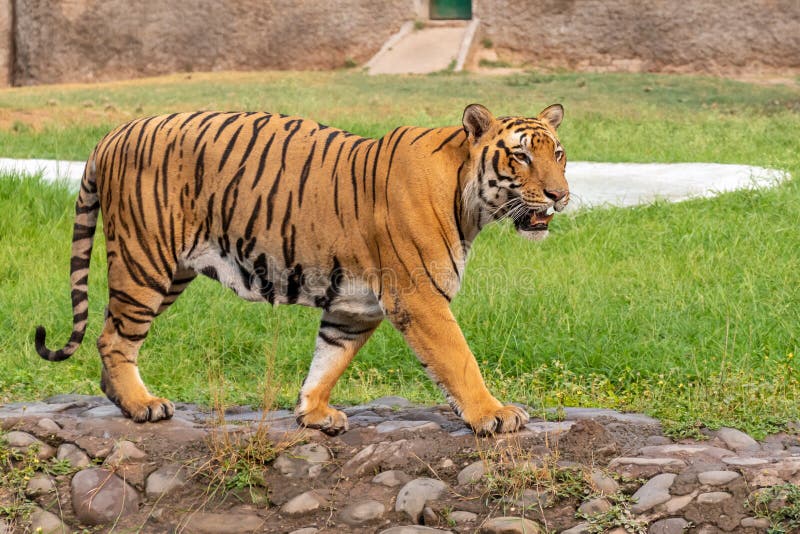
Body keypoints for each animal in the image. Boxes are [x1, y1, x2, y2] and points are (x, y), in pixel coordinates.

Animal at [35, 103, 569, 436]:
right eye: (521, 155)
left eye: (559, 154)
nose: (561, 195)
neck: (470, 203)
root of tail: (113, 133)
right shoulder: (419, 298)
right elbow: (459, 359)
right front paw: (493, 414)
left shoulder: (354, 307)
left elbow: (328, 359)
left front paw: (312, 413)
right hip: (145, 261)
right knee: (113, 337)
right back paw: (143, 406)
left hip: (170, 271)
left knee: (112, 337)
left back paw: (126, 401)